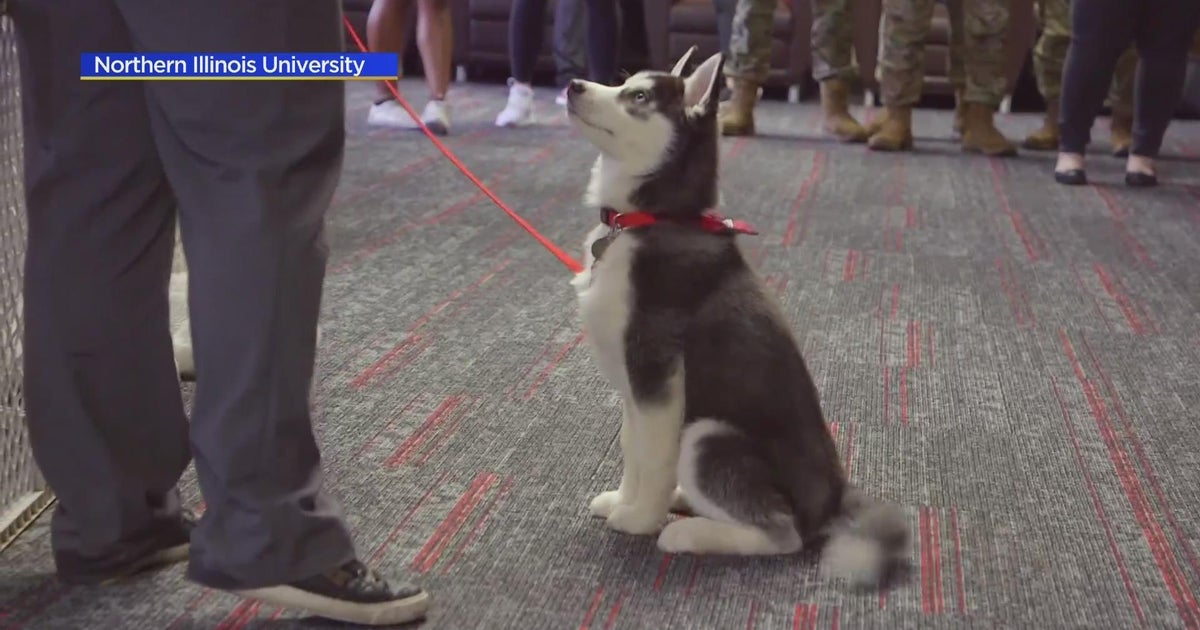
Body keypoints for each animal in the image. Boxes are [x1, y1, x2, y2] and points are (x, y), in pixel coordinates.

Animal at [561, 48, 907, 585]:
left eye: (637, 97)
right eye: (624, 83)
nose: (574, 84)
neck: (650, 218)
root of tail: (832, 497)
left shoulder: (656, 372)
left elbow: (651, 456)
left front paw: (638, 517)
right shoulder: (635, 387)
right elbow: (633, 447)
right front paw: (624, 498)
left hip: (708, 436)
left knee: (783, 534)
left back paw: (687, 532)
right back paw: (683, 503)